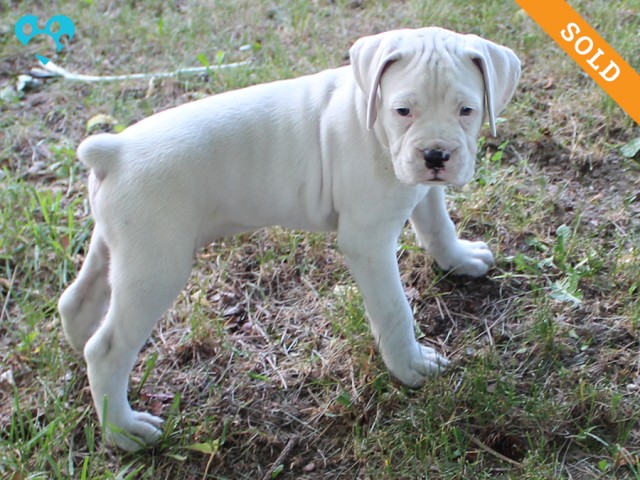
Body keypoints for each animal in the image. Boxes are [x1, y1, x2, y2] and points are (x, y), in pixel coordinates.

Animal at [58, 27, 520, 450]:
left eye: (467, 110)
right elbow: (394, 309)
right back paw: (124, 430)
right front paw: (410, 366)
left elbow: (439, 227)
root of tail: (113, 152)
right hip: (155, 269)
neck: (371, 119)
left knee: (78, 302)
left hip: (119, 249)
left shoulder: (422, 192)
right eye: (403, 110)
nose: (436, 155)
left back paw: (85, 364)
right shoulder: (369, 241)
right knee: (107, 350)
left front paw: (461, 259)